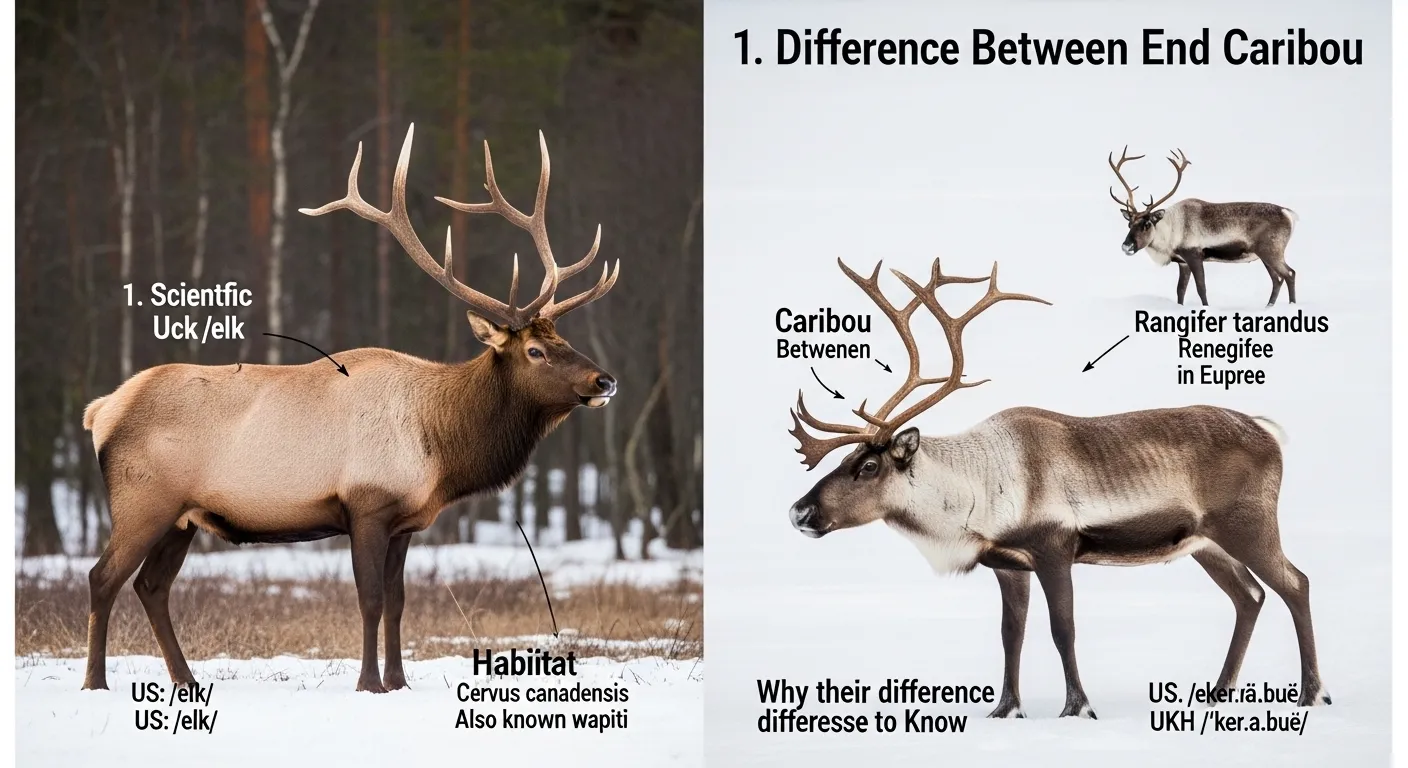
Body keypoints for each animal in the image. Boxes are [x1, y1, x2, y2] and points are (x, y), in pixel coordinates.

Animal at [79, 123, 620, 693]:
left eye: (563, 339)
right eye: (535, 350)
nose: (604, 380)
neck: (440, 449)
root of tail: (101, 410)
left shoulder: (405, 522)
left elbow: (400, 603)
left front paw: (400, 682)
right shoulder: (366, 504)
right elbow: (371, 600)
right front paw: (369, 684)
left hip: (182, 517)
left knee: (151, 587)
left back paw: (185, 680)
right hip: (143, 500)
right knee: (103, 577)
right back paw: (96, 682)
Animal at [786, 257, 1329, 718]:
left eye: (869, 465)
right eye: (843, 459)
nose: (799, 512)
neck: (975, 490)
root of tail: (1268, 433)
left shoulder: (1055, 548)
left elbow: (1062, 629)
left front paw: (1078, 707)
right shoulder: (1008, 564)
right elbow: (1012, 634)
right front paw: (1005, 709)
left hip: (1248, 525)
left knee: (1295, 583)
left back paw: (1312, 694)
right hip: (1204, 543)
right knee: (1250, 597)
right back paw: (1219, 693)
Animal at [1108, 147, 1300, 307]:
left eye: (1147, 224)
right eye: (1129, 223)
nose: (1126, 246)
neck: (1170, 232)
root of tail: (1287, 213)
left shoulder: (1194, 256)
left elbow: (1201, 288)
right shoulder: (1183, 263)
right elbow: (1180, 290)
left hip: (1271, 250)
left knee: (1289, 274)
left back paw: (1291, 305)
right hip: (1264, 254)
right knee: (1277, 280)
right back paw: (1269, 307)